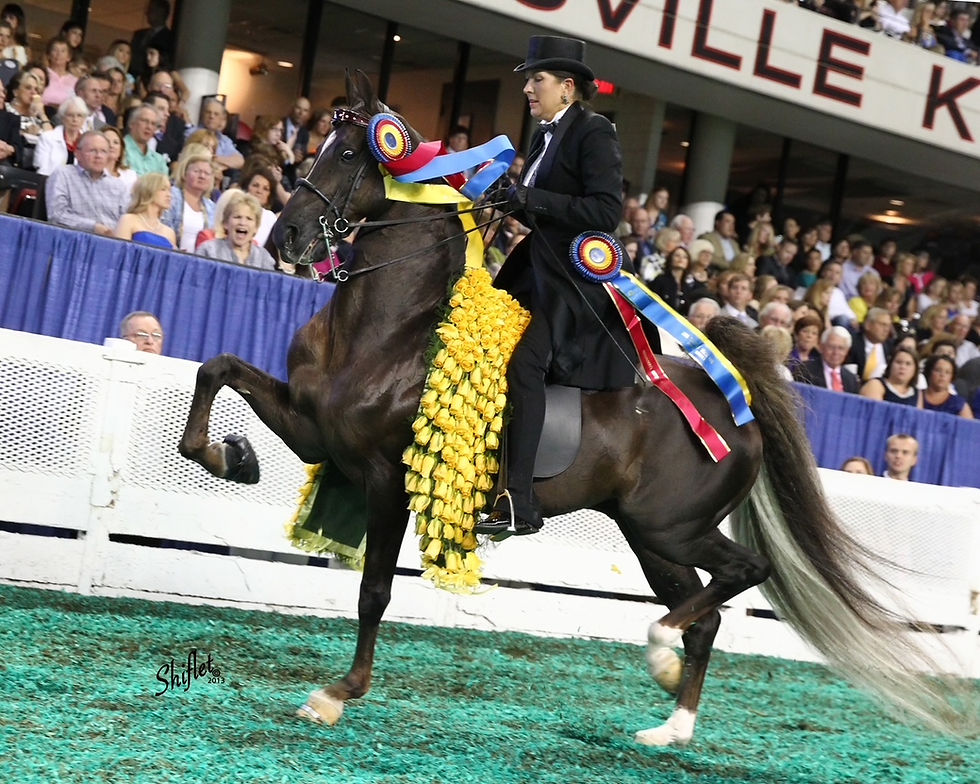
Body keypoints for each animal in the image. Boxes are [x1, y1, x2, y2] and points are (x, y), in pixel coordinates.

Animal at [178, 71, 962, 747]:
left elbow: (373, 591)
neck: (390, 326)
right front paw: (232, 456)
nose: (282, 239)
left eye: (349, 153)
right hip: (651, 536)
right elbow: (217, 370)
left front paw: (337, 694)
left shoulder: (382, 478)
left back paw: (658, 654)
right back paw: (671, 722)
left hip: (671, 526)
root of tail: (730, 396)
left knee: (744, 574)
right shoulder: (317, 432)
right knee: (705, 612)